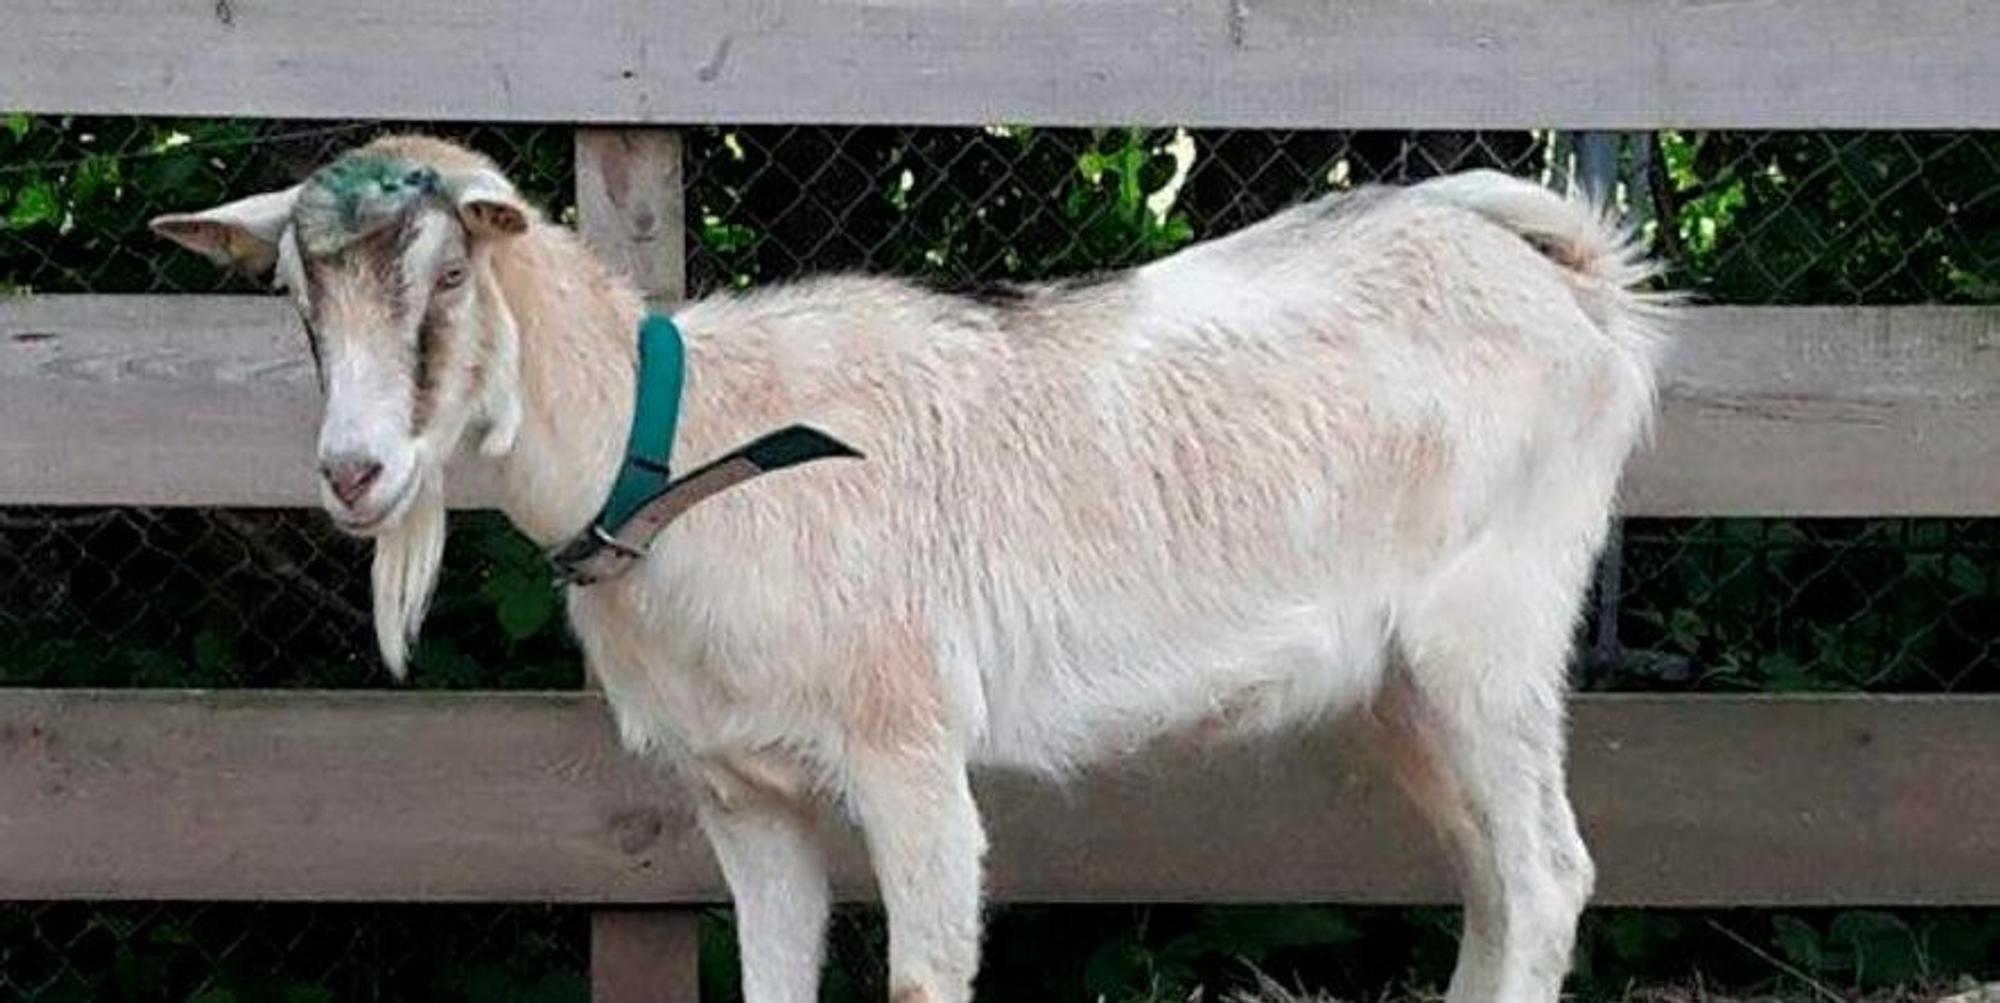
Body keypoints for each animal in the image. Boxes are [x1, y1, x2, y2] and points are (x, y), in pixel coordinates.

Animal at [151, 133, 1672, 1003]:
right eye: (295, 296)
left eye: (451, 276)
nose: (354, 472)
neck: (696, 445)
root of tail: (1573, 280)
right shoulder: (743, 791)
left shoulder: (907, 747)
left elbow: (930, 970)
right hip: (1403, 683)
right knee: (1493, 880)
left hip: (1493, 629)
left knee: (1547, 875)